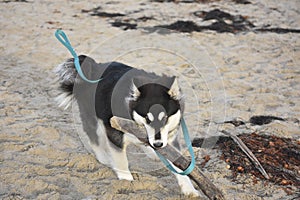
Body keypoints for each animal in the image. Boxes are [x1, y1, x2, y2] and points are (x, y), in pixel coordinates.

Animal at [54, 55, 199, 197]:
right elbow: (121, 159)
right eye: (147, 118)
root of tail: (94, 66)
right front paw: (127, 181)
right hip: (92, 117)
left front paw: (189, 189)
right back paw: (104, 158)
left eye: (165, 118)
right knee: (94, 138)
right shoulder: (114, 132)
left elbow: (179, 166)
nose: (158, 144)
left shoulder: (169, 138)